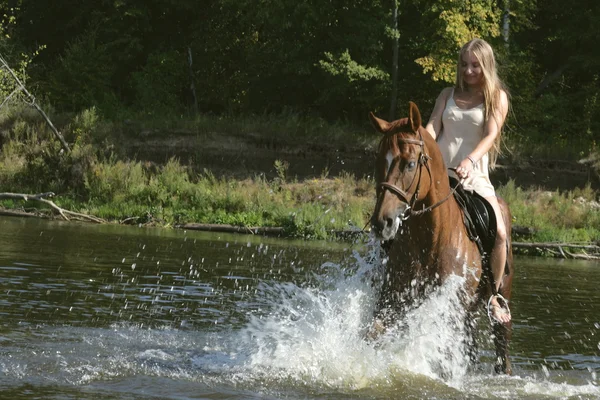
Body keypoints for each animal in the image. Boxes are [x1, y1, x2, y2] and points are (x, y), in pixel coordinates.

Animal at [368, 101, 512, 376]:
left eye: (410, 164)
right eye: (378, 160)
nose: (382, 223)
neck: (432, 237)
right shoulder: (393, 300)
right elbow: (375, 332)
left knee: (502, 354)